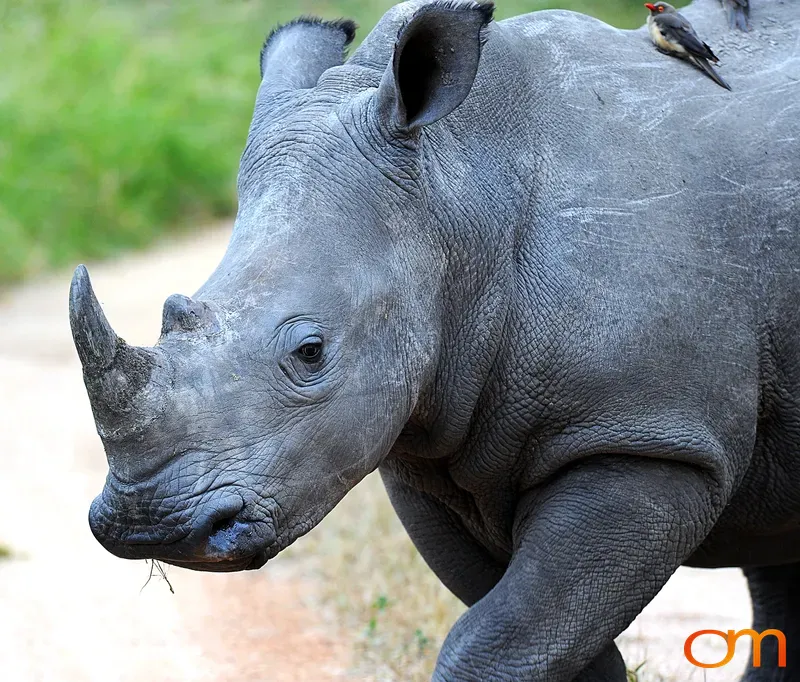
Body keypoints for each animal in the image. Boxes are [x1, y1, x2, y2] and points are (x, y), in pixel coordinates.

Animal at [69, 0, 800, 679]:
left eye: (311, 351)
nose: (151, 525)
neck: (459, 194)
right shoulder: (427, 445)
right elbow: (544, 638)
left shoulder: (647, 438)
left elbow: (502, 639)